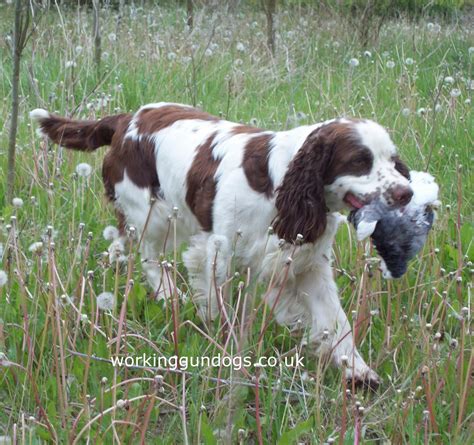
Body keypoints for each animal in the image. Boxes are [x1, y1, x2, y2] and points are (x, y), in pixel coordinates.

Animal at [31, 103, 412, 386]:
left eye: (393, 161)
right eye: (360, 160)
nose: (406, 192)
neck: (278, 180)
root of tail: (127, 119)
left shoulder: (307, 263)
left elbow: (337, 321)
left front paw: (359, 372)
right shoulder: (217, 251)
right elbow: (219, 308)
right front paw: (225, 352)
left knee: (121, 243)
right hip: (152, 212)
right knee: (148, 255)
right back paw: (168, 294)